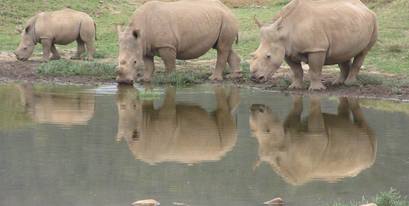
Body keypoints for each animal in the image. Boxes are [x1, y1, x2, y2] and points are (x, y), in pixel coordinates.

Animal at [250, 0, 378, 90]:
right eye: (253, 55)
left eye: (268, 56)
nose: (255, 78)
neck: (284, 31)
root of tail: (365, 7)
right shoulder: (287, 50)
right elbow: (296, 70)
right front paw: (295, 87)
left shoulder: (317, 48)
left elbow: (315, 70)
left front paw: (316, 89)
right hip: (349, 22)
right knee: (342, 53)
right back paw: (337, 83)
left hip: (374, 21)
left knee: (363, 53)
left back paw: (349, 84)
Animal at [250, 96, 378, 185]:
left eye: (268, 130)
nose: (255, 107)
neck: (284, 147)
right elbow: (297, 111)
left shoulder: (317, 135)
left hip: (367, 155)